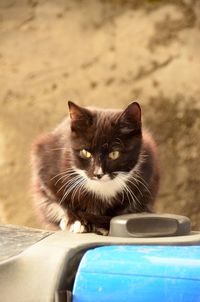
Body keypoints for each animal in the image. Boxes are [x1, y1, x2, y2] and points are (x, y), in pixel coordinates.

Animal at [31, 101, 159, 234]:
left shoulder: (148, 171)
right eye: (85, 153)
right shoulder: (45, 164)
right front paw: (76, 221)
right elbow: (57, 199)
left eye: (114, 154)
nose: (98, 174)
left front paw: (104, 225)